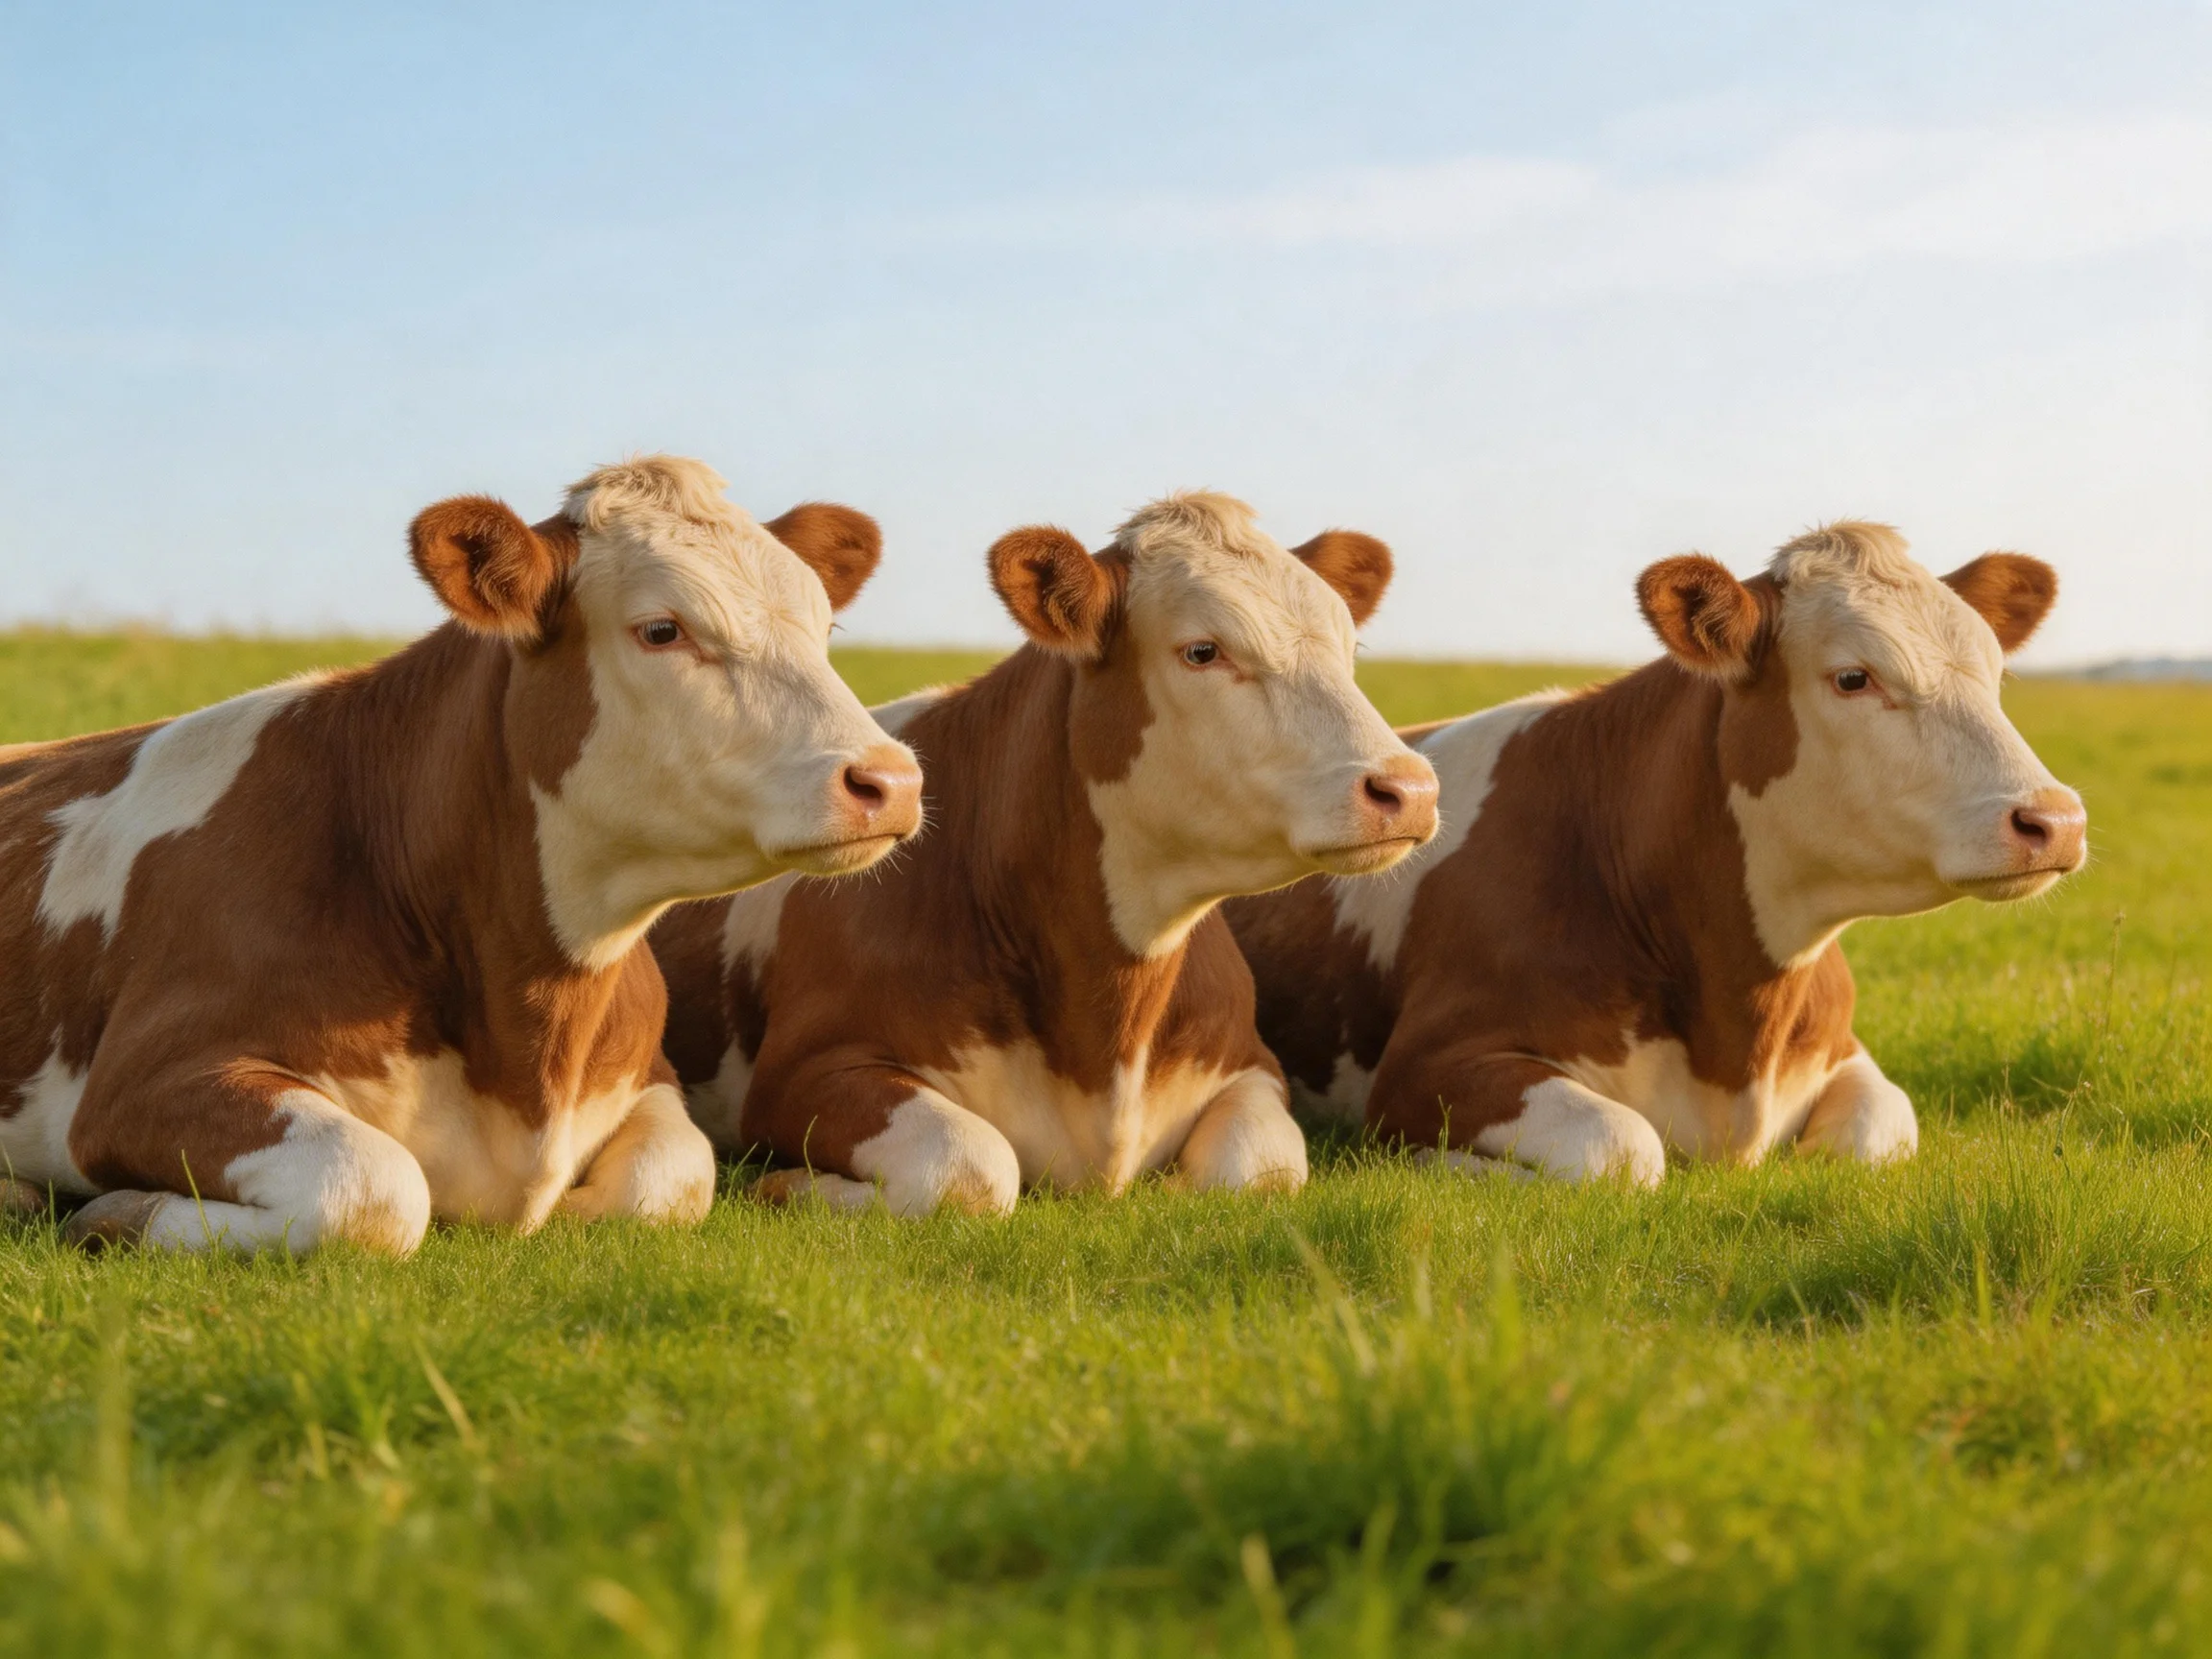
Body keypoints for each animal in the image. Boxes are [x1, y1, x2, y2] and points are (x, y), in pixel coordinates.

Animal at [0, 455, 922, 1253]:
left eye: (825, 625)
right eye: (662, 629)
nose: (891, 779)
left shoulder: (650, 1073)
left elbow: (671, 1178)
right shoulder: (135, 1085)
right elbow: (372, 1186)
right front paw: (116, 1214)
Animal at [652, 491, 1440, 1215]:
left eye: (1349, 650)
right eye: (1203, 651)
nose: (1408, 788)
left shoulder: (1252, 1064)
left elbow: (1259, 1168)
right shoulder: (803, 1072)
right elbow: (970, 1164)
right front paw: (785, 1183)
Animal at [1225, 522, 2086, 1185]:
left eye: (1994, 673)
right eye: (1853, 677)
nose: (2055, 820)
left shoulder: (1843, 1052)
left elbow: (1877, 1130)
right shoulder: (1425, 1067)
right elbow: (1622, 1146)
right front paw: (1439, 1166)